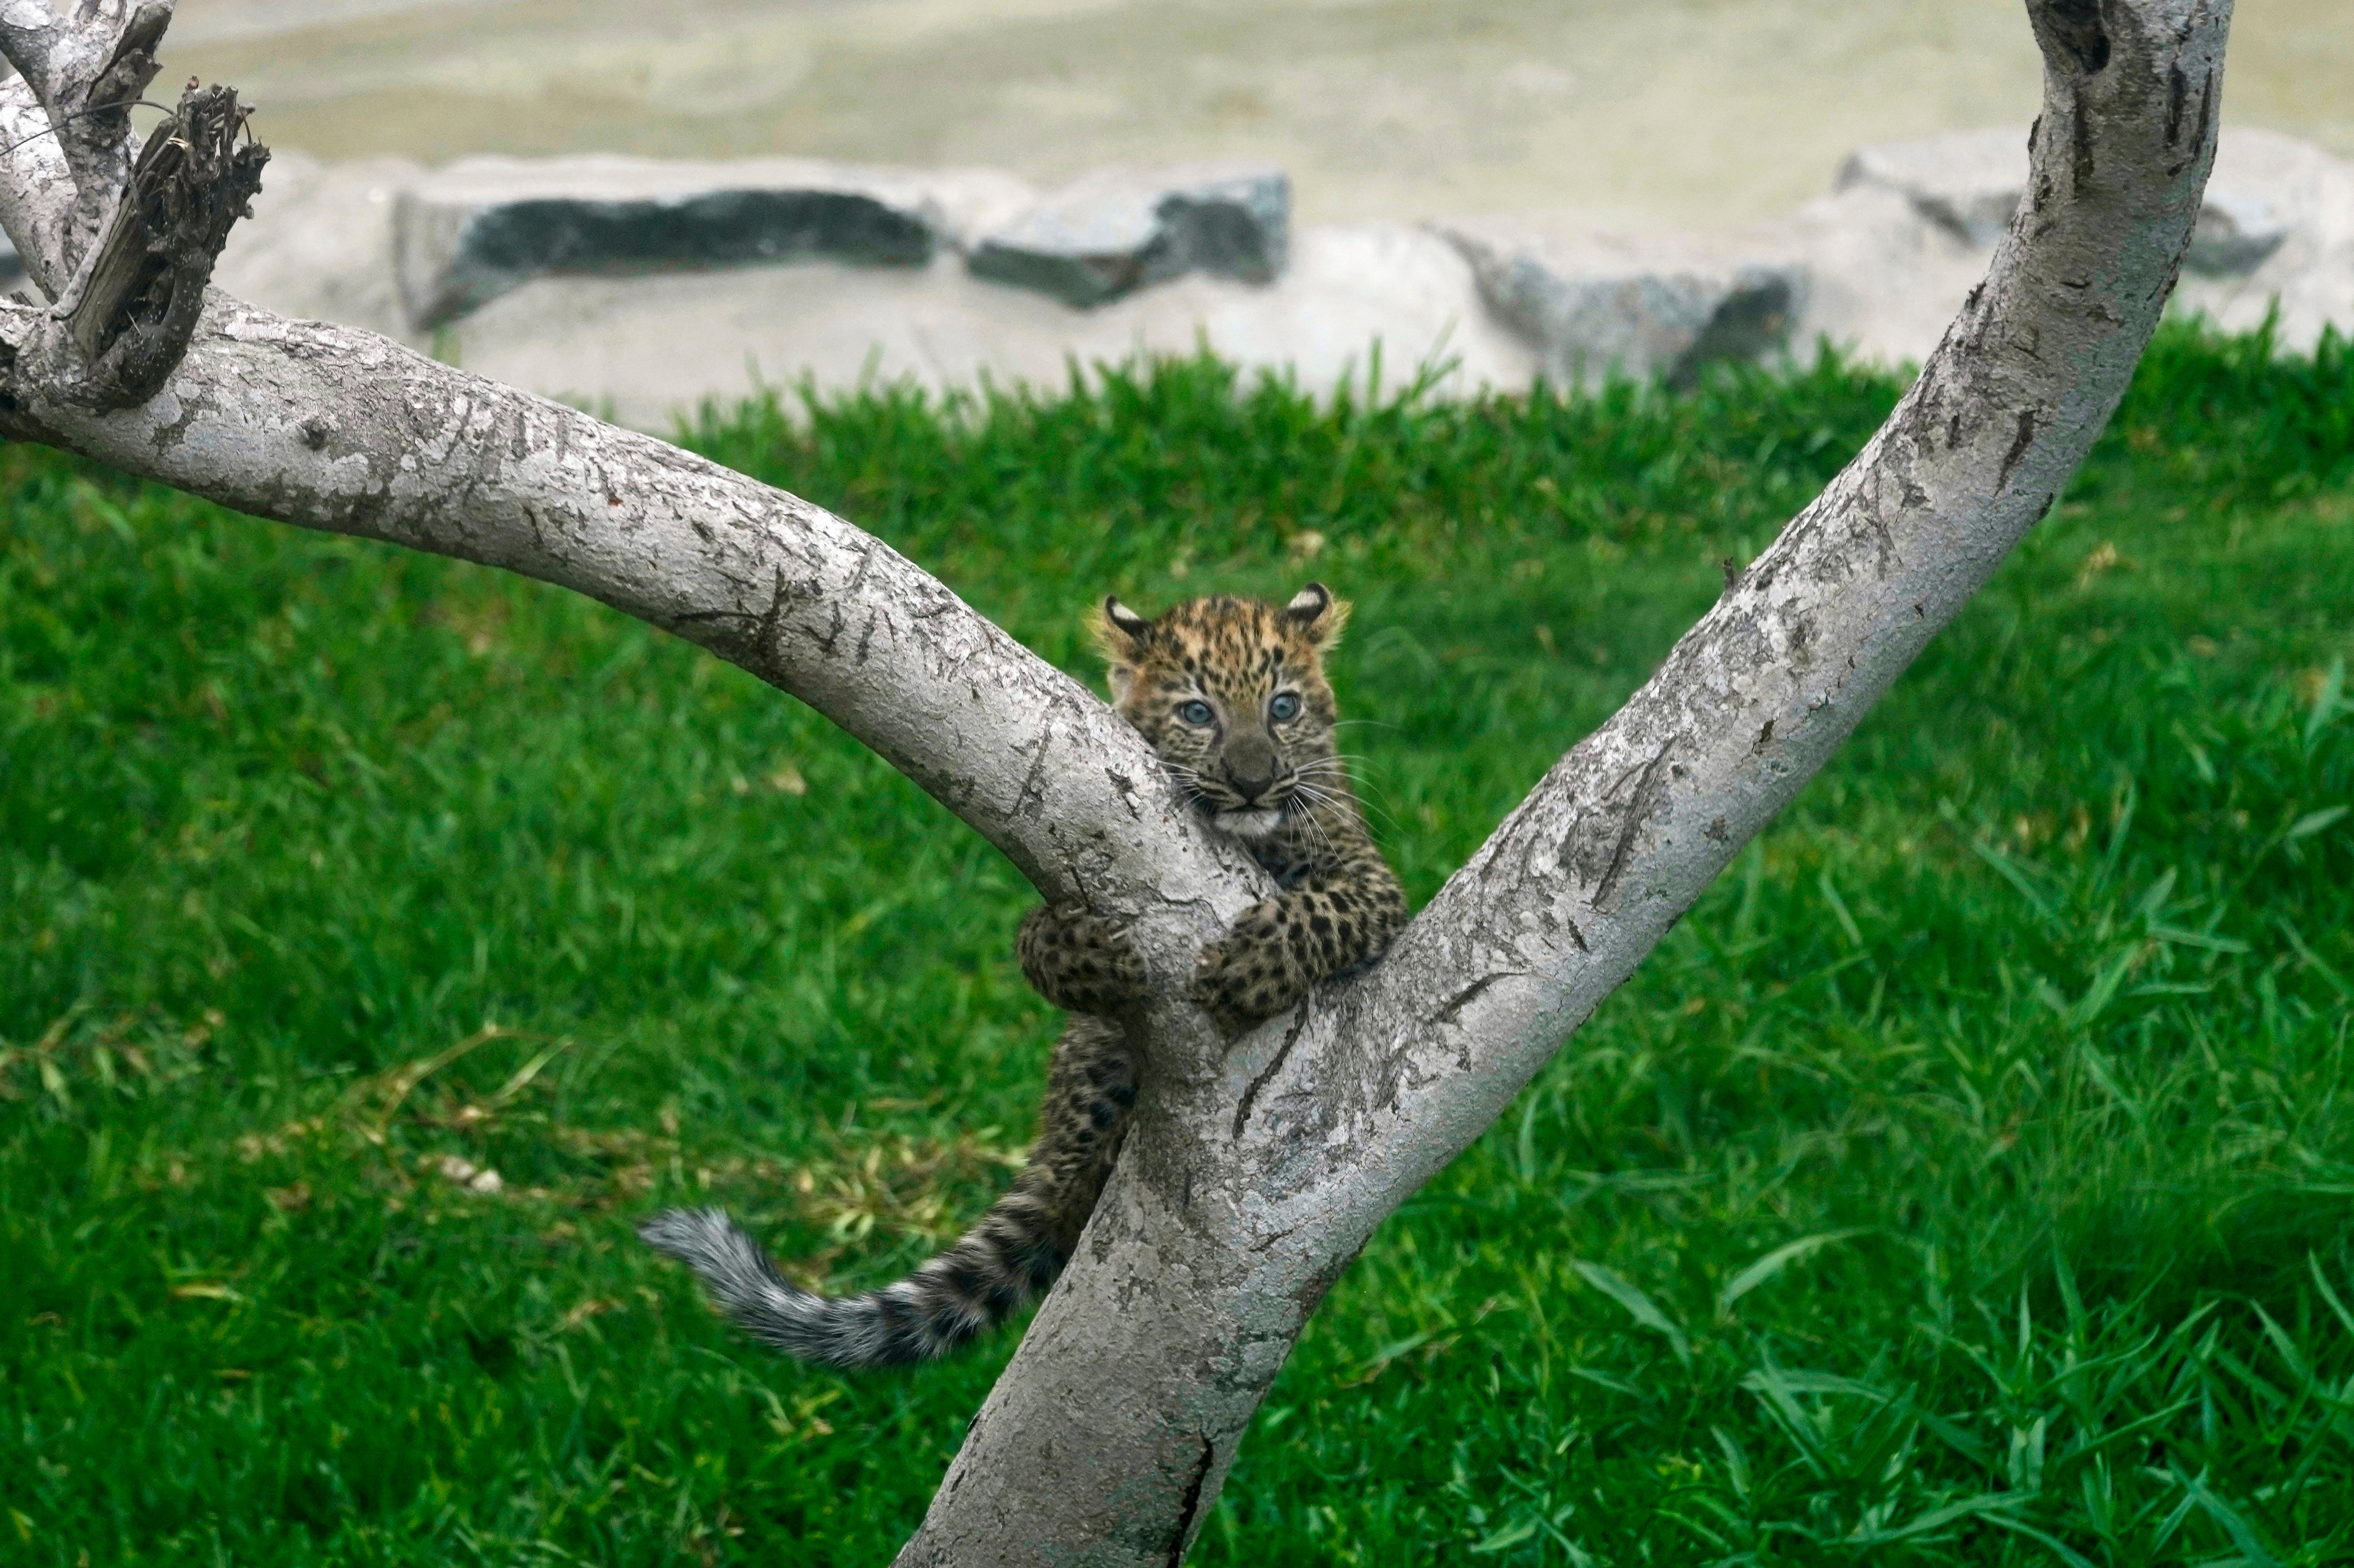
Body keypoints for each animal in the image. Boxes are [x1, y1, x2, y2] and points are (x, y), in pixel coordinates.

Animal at [639, 583, 1406, 1369]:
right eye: (1198, 714)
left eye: (1282, 707)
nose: (1253, 783)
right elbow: (1031, 939)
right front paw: (1083, 951)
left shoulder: (1370, 882)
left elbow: (1325, 910)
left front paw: (1249, 967)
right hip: (1094, 1059)